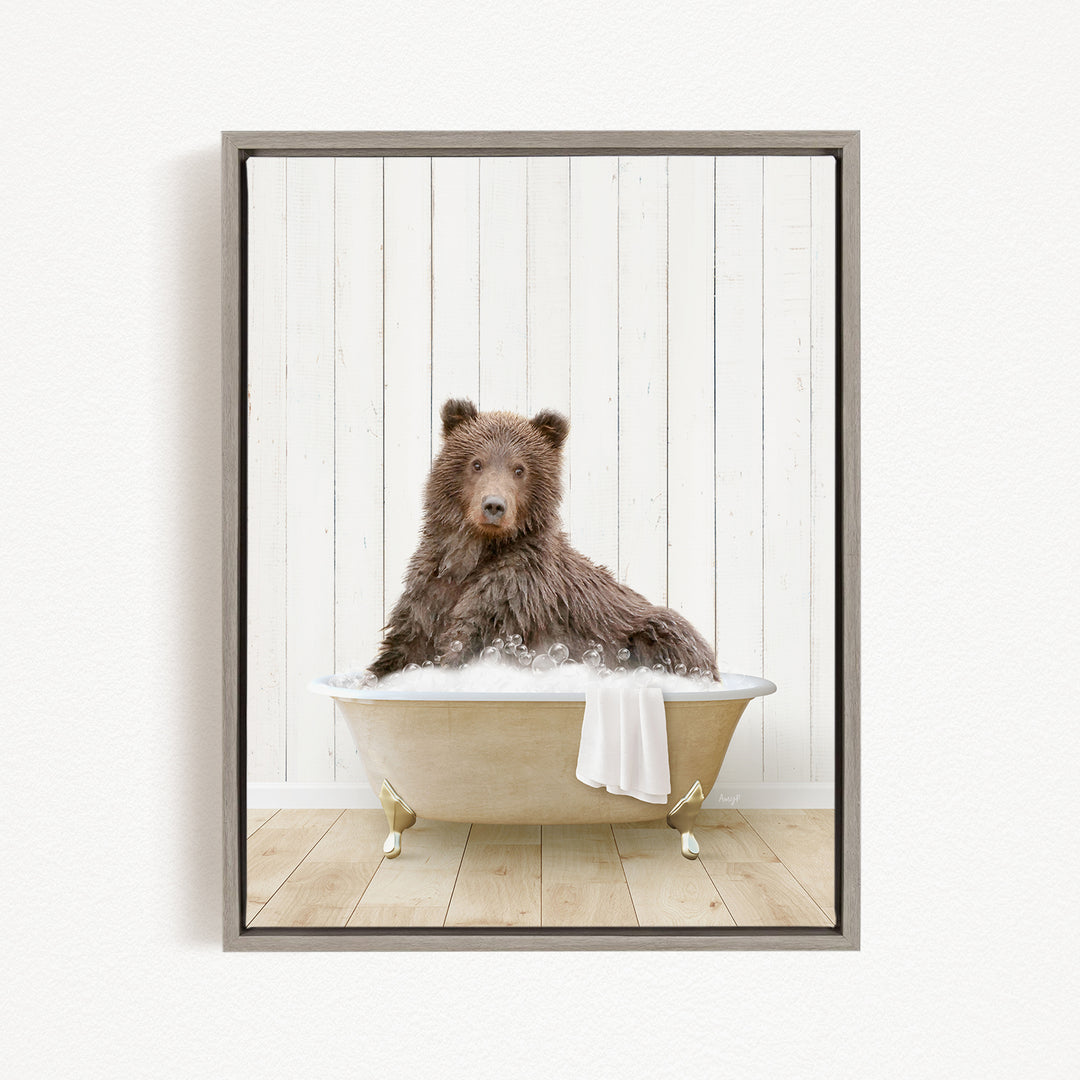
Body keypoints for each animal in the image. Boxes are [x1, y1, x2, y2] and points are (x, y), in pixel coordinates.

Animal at [368, 398, 719, 680]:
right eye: (476, 463)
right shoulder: (430, 590)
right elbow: (404, 647)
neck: (475, 553)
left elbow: (470, 640)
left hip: (651, 631)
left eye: (519, 469)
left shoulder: (515, 595)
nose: (494, 505)